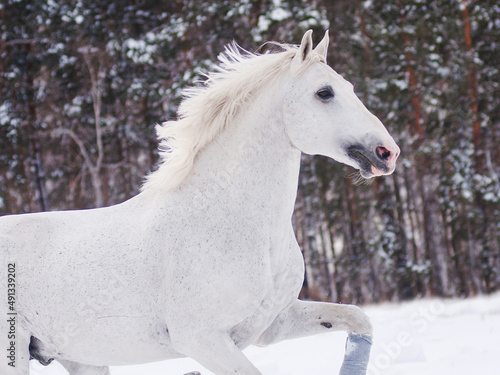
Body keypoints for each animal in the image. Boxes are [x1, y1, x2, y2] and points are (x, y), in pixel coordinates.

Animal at [0, 30, 398, 375]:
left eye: (349, 88)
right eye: (324, 93)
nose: (388, 152)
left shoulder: (273, 323)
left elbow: (358, 318)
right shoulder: (202, 340)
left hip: (83, 359)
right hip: (15, 355)